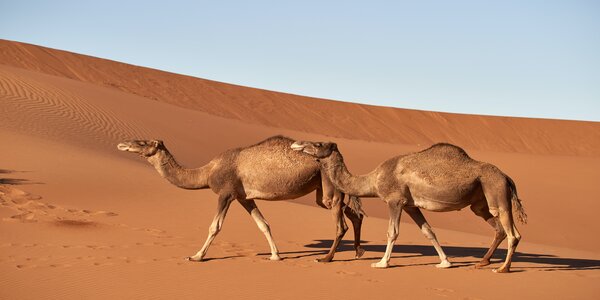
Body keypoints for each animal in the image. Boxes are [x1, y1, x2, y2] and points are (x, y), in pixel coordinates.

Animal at [116, 136, 366, 262]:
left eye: (142, 142)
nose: (122, 143)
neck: (206, 172)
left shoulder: (226, 193)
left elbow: (215, 226)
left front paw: (196, 256)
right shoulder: (244, 197)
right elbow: (263, 224)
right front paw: (275, 256)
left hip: (329, 187)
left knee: (341, 222)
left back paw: (327, 258)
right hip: (322, 190)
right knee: (354, 214)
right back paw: (358, 252)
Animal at [292, 139, 528, 274]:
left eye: (318, 144)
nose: (296, 144)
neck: (373, 179)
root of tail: (506, 177)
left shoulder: (394, 200)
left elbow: (392, 232)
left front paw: (382, 263)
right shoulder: (411, 205)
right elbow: (428, 232)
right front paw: (445, 262)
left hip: (495, 191)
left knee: (513, 233)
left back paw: (503, 268)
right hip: (480, 203)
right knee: (498, 228)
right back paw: (483, 262)